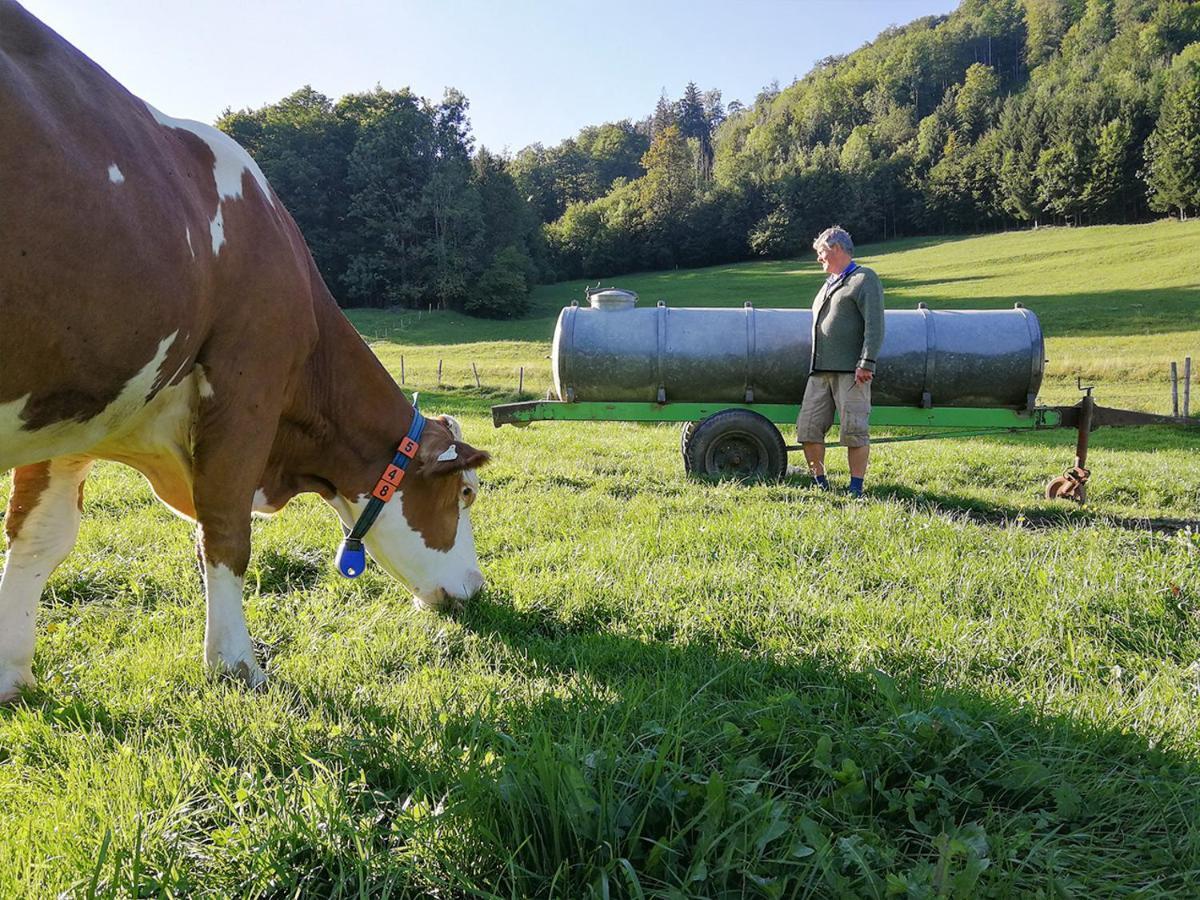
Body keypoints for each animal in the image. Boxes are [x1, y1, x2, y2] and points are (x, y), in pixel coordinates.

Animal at [1, 1, 492, 705]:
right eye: (466, 494)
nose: (477, 592)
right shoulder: (245, 391)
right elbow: (227, 533)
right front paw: (235, 664)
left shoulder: (72, 412)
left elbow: (39, 539)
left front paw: (9, 673)